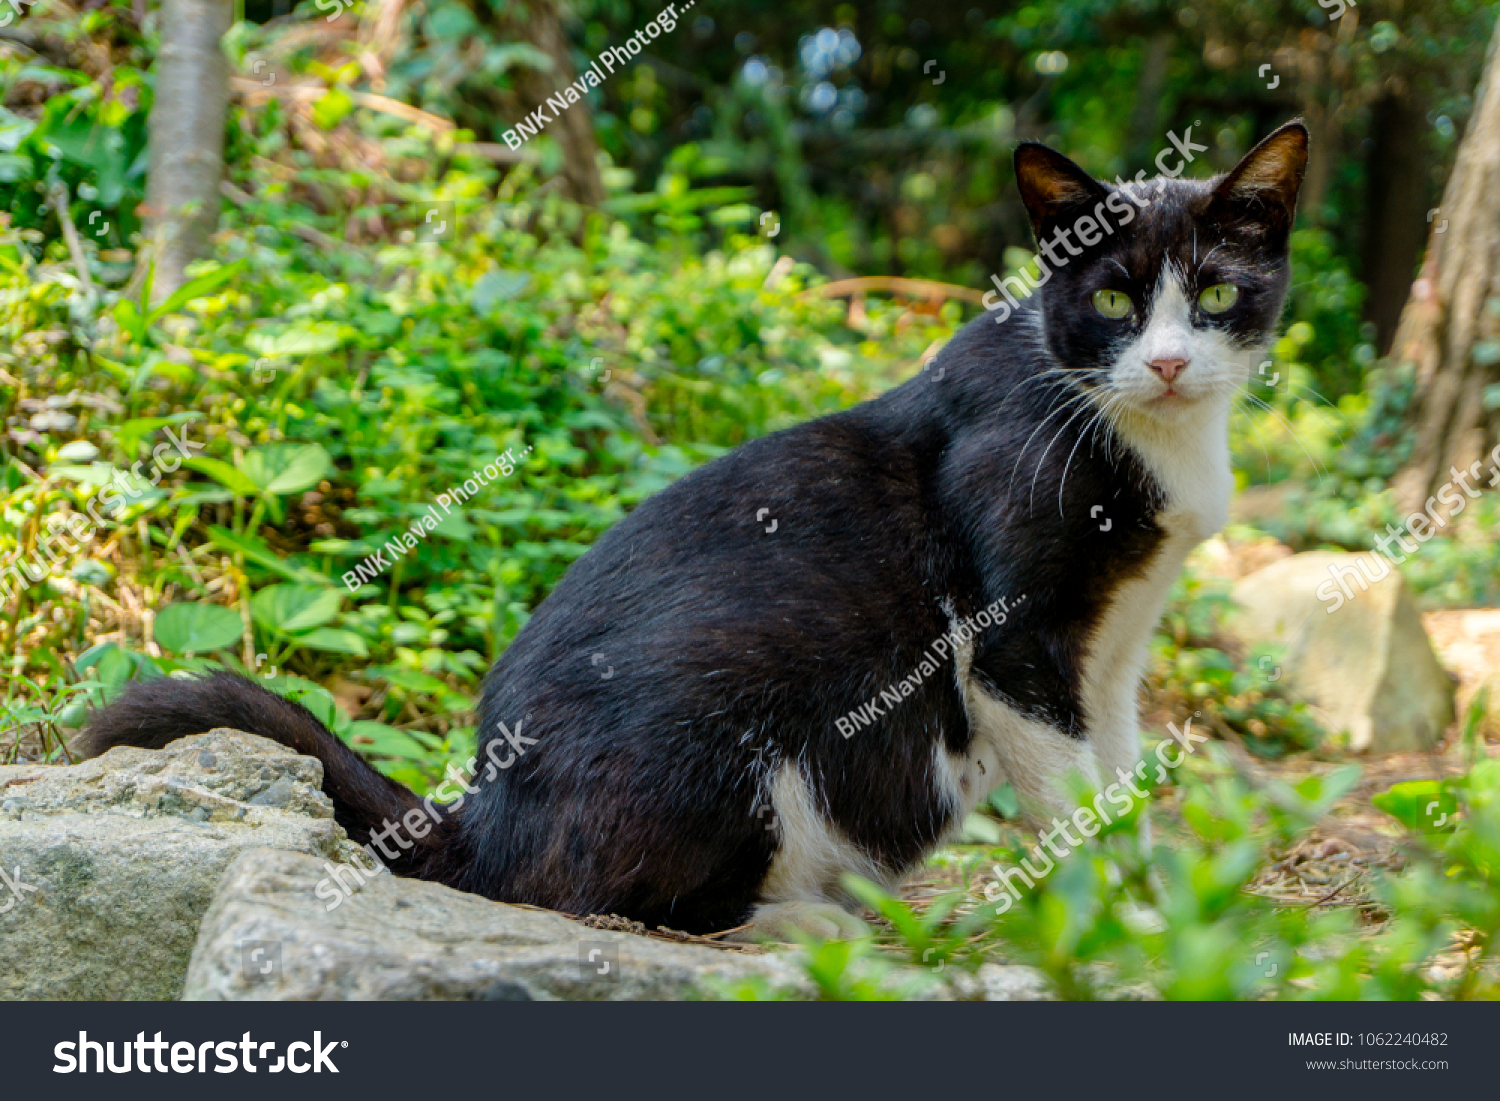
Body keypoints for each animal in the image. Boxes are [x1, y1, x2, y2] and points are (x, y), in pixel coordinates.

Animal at [82, 125, 1308, 942]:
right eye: (1110, 302)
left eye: (1213, 293)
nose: (1166, 361)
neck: (1149, 439)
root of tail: (481, 810)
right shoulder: (1008, 641)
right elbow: (1071, 797)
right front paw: (1115, 922)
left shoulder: (1112, 651)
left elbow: (1120, 775)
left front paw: (1162, 911)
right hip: (719, 713)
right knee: (607, 896)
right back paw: (807, 923)